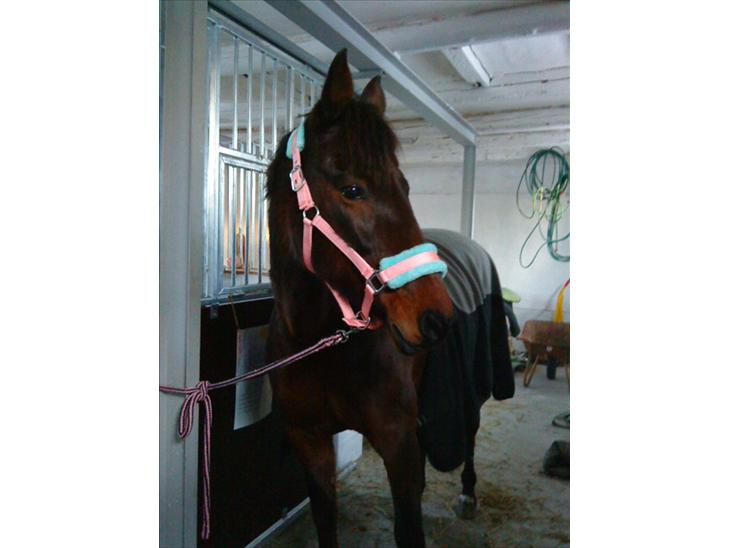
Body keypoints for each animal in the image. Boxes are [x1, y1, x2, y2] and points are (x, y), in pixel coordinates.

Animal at [265, 49, 511, 548]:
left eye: (406, 186)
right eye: (353, 189)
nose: (438, 318)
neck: (321, 345)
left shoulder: (398, 444)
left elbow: (408, 527)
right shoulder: (310, 443)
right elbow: (325, 523)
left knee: (471, 435)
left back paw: (468, 493)